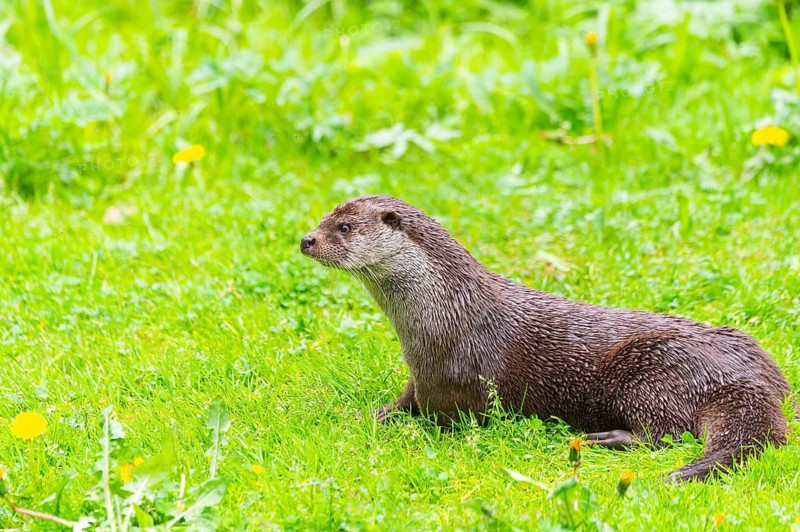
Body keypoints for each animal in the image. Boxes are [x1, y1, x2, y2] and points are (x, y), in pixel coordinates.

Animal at [300, 195, 794, 481]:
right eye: (324, 217)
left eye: (344, 228)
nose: (307, 240)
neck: (448, 314)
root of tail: (747, 381)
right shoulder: (420, 373)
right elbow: (402, 402)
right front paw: (369, 414)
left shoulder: (458, 384)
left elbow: (444, 420)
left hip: (650, 372)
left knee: (667, 435)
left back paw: (603, 439)